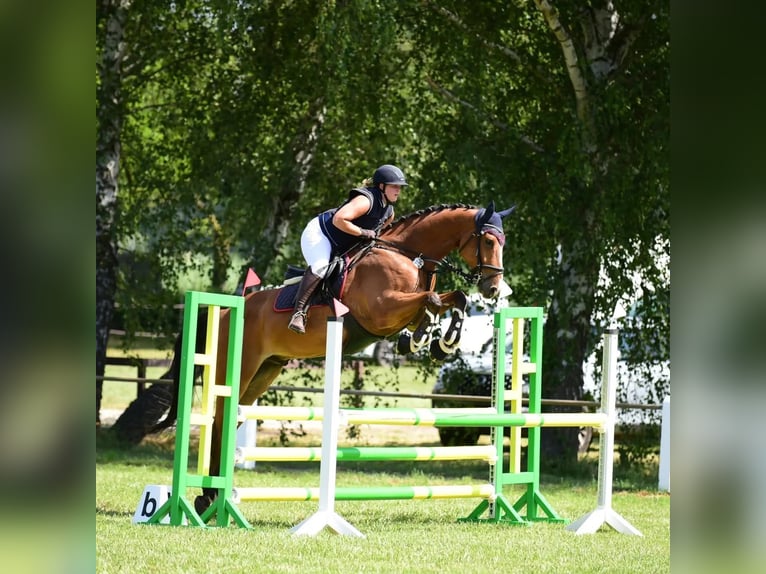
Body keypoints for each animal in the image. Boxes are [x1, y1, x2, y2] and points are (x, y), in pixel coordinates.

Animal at [152, 201, 516, 515]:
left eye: (503, 241)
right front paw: (427, 338)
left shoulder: (402, 312)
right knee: (219, 418)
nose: (494, 289)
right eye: (488, 240)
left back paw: (211, 496)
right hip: (238, 367)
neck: (408, 256)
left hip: (265, 371)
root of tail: (226, 311)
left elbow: (454, 298)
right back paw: (208, 495)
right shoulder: (383, 309)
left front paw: (439, 342)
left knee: (234, 417)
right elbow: (432, 299)